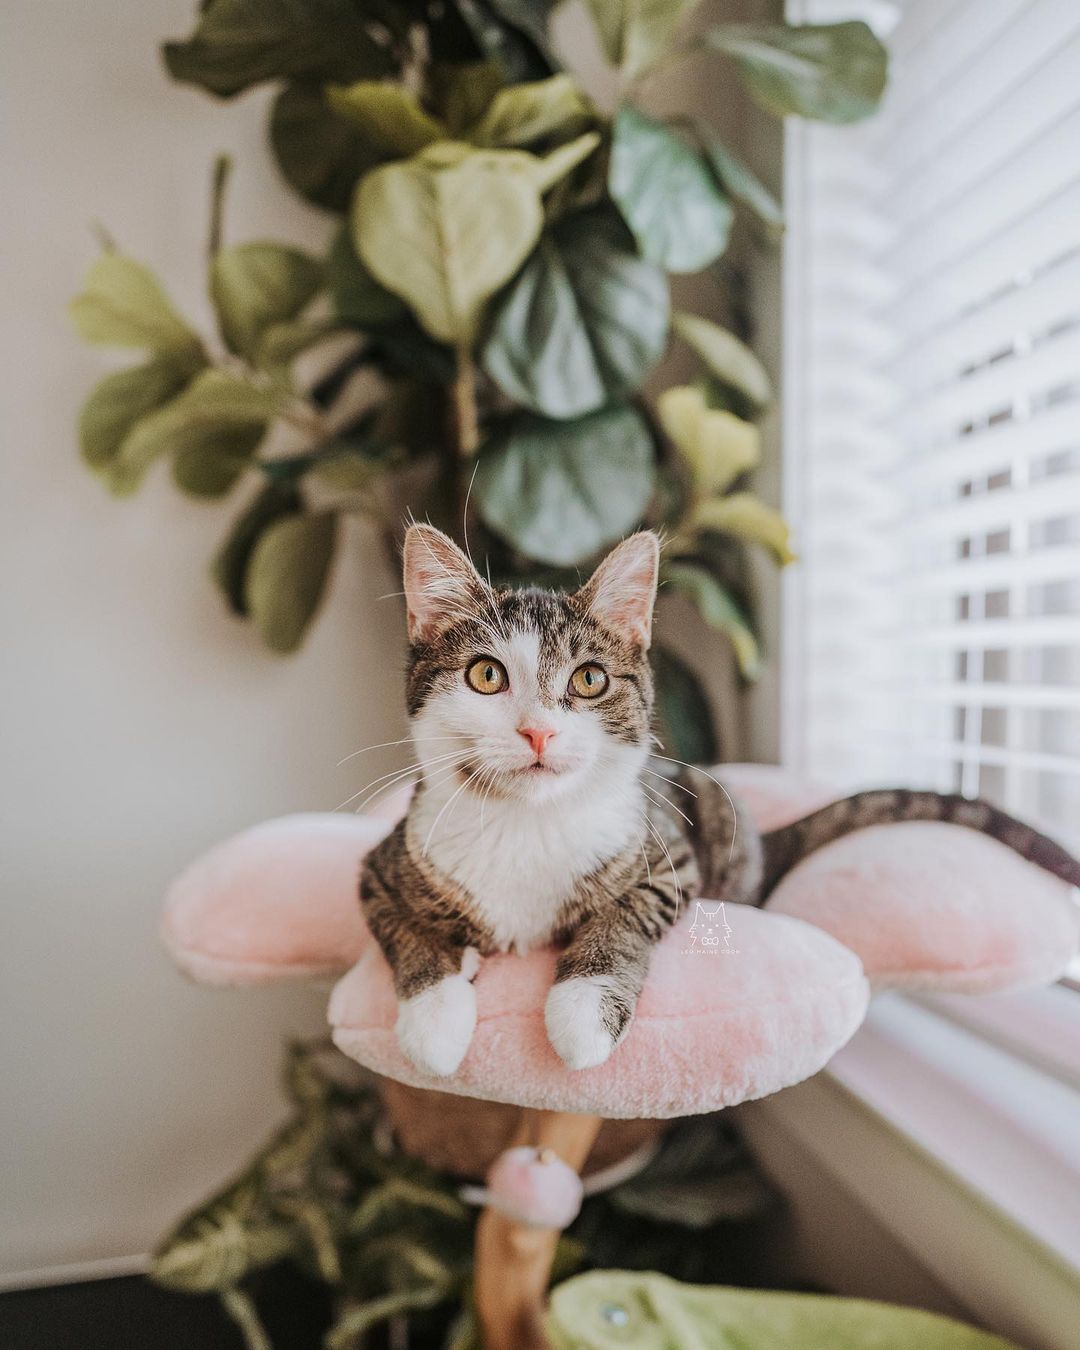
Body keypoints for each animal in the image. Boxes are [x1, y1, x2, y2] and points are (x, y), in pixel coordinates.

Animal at [356, 521, 1080, 1080]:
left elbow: (623, 917)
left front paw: (581, 1014)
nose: (539, 731)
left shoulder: (668, 859)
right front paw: (435, 1016)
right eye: (486, 675)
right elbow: (400, 926)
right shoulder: (380, 865)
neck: (528, 823)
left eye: (589, 680)